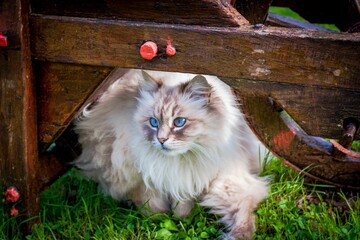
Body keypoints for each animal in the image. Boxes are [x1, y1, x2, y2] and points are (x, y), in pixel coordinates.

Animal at [74, 68, 268, 239]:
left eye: (179, 122)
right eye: (153, 122)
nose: (161, 139)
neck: (175, 162)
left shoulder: (189, 178)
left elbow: (183, 207)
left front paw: (181, 220)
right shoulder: (139, 176)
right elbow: (152, 207)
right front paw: (159, 220)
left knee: (244, 209)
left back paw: (237, 235)